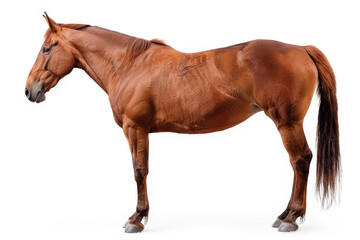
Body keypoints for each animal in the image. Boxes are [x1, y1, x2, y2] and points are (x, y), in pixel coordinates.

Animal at [25, 12, 340, 232]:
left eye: (47, 48)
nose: (30, 90)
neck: (129, 64)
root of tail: (301, 48)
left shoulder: (135, 128)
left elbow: (139, 171)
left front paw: (136, 219)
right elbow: (141, 170)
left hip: (287, 122)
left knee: (301, 160)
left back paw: (291, 218)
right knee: (297, 163)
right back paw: (284, 215)